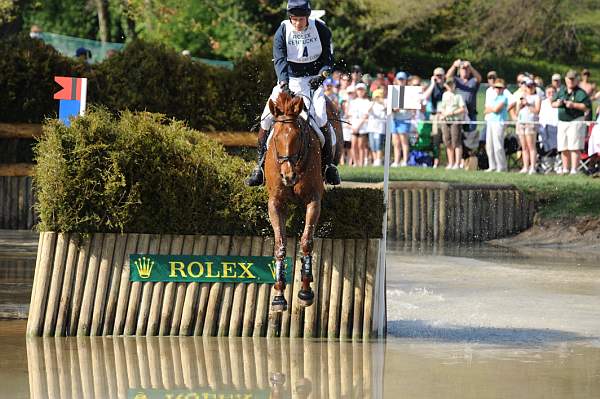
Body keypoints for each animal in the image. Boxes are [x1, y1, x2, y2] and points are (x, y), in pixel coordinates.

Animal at [264, 91, 342, 312]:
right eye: (275, 138)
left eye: (297, 137)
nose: (288, 177)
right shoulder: (275, 204)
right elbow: (280, 246)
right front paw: (278, 295)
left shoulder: (313, 201)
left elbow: (307, 241)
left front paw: (305, 291)